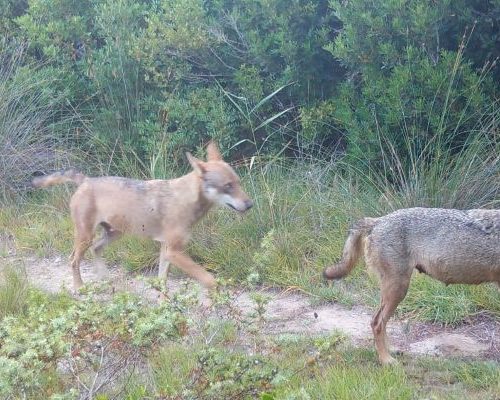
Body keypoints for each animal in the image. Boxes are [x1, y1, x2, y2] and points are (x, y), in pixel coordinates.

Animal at [31, 143, 252, 290]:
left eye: (238, 183)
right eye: (228, 186)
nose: (250, 204)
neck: (185, 199)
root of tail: (86, 180)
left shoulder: (166, 251)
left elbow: (162, 283)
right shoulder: (174, 252)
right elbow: (209, 280)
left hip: (113, 234)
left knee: (96, 250)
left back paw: (105, 278)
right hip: (86, 237)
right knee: (73, 260)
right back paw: (79, 288)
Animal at [324, 209, 500, 366]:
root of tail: (378, 220)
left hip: (393, 291)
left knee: (379, 321)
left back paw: (391, 351)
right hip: (398, 289)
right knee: (377, 323)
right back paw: (386, 360)